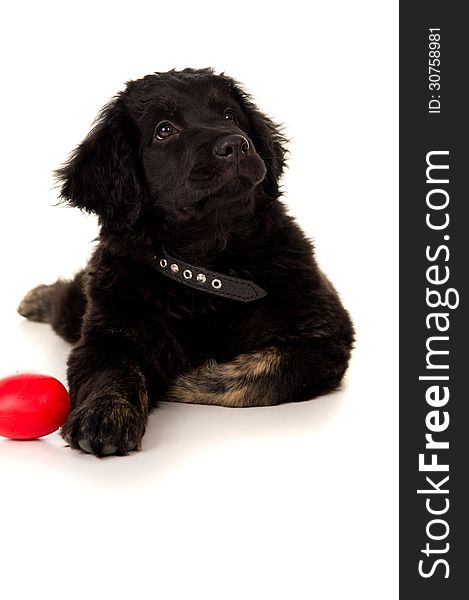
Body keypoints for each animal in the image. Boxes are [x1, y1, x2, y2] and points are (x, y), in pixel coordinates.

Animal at [18, 69, 354, 454]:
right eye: (164, 130)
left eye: (229, 115)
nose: (235, 144)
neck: (207, 270)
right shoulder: (108, 332)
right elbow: (112, 372)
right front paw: (104, 413)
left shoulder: (324, 336)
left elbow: (256, 375)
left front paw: (181, 379)